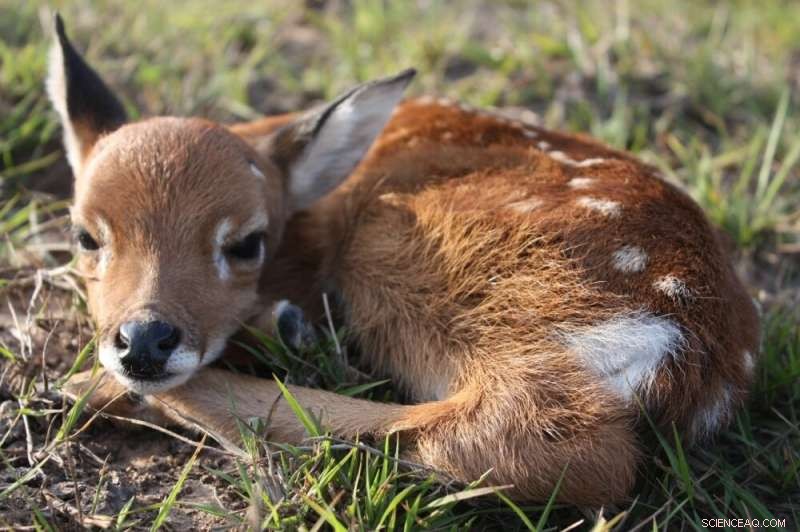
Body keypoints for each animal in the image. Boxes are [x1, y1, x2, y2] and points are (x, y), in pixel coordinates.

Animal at [49, 14, 760, 505]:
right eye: (86, 235)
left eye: (246, 241)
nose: (144, 340)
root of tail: (692, 351)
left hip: (425, 254)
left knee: (548, 440)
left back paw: (110, 389)